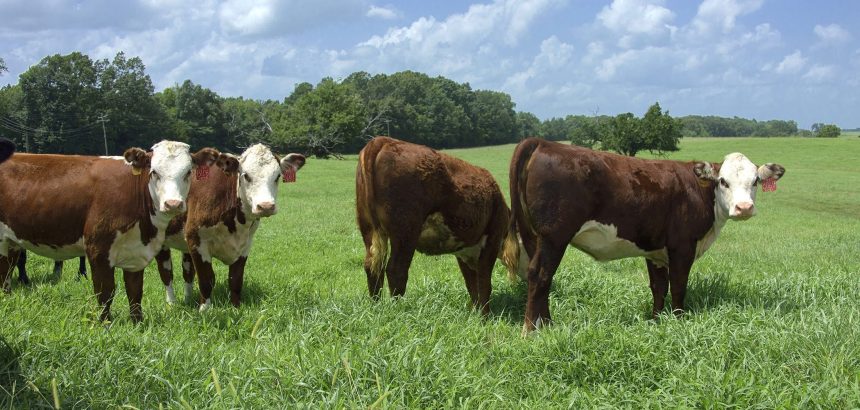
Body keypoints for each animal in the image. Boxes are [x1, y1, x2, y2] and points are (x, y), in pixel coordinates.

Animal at [0, 141, 222, 324]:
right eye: (154, 172)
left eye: (188, 172)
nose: (173, 204)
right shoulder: (98, 248)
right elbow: (105, 291)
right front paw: (105, 323)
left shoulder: (136, 252)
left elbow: (135, 291)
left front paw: (137, 323)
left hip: (9, 242)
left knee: (6, 272)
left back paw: (6, 299)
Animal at [154, 144, 306, 310]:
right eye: (246, 176)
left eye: (277, 176)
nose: (266, 206)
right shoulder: (196, 240)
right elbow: (206, 279)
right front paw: (205, 309)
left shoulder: (245, 244)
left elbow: (235, 279)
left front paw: (235, 307)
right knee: (166, 273)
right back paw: (172, 303)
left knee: (187, 272)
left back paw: (188, 299)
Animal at [352, 135, 528, 314]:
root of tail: (382, 141)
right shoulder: (492, 238)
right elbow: (484, 282)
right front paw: (485, 314)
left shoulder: (464, 251)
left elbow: (472, 284)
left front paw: (475, 311)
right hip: (405, 232)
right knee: (396, 270)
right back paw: (398, 309)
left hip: (369, 229)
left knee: (373, 266)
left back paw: (375, 307)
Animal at [510, 138, 788, 334]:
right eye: (723, 181)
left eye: (755, 181)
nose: (744, 208)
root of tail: (543, 143)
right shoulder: (682, 246)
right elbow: (678, 286)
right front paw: (678, 321)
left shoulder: (655, 251)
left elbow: (658, 287)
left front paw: (657, 321)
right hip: (554, 236)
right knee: (540, 275)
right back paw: (532, 330)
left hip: (536, 237)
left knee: (542, 278)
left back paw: (546, 324)